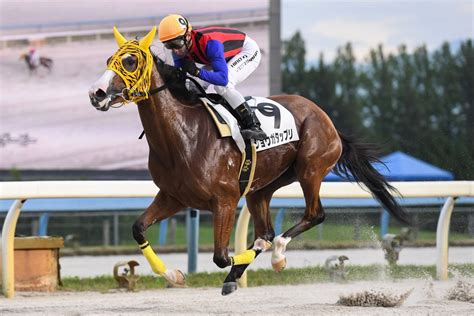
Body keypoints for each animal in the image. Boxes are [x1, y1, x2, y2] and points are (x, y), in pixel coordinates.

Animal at [89, 27, 412, 296]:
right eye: (109, 59)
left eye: (130, 61)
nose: (97, 93)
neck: (183, 135)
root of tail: (328, 120)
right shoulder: (174, 196)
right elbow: (138, 228)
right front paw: (173, 275)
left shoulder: (225, 199)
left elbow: (220, 256)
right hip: (262, 186)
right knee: (265, 231)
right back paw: (247, 267)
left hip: (310, 169)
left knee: (312, 216)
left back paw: (278, 256)